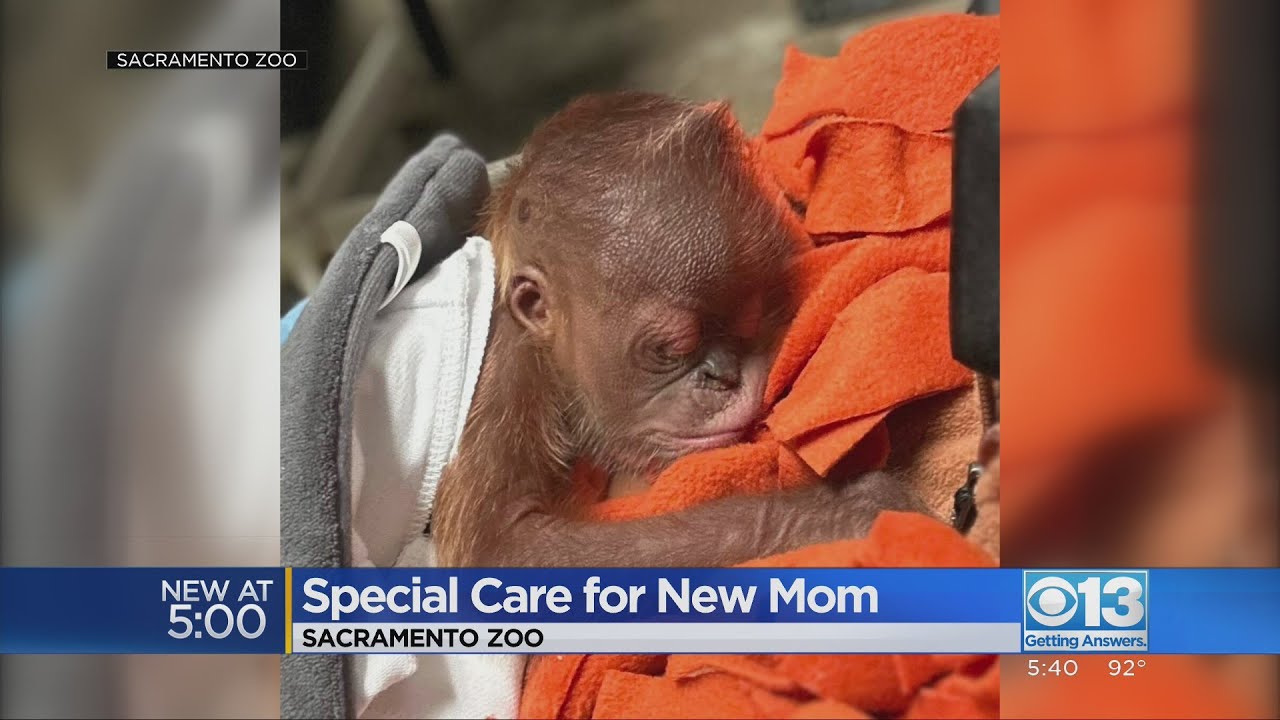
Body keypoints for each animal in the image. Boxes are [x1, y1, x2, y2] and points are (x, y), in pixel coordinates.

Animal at [432, 92, 926, 567]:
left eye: (747, 323)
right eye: (670, 350)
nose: (722, 376)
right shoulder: (502, 367)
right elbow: (503, 547)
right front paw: (836, 512)